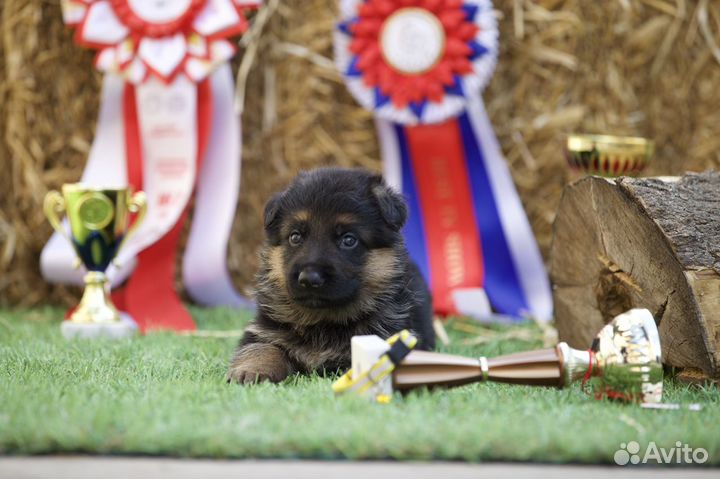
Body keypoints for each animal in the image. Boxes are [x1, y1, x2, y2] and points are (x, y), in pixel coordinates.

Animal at [228, 169, 436, 386]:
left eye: (349, 240)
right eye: (295, 237)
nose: (309, 278)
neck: (322, 321)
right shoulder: (267, 330)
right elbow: (263, 348)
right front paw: (252, 370)